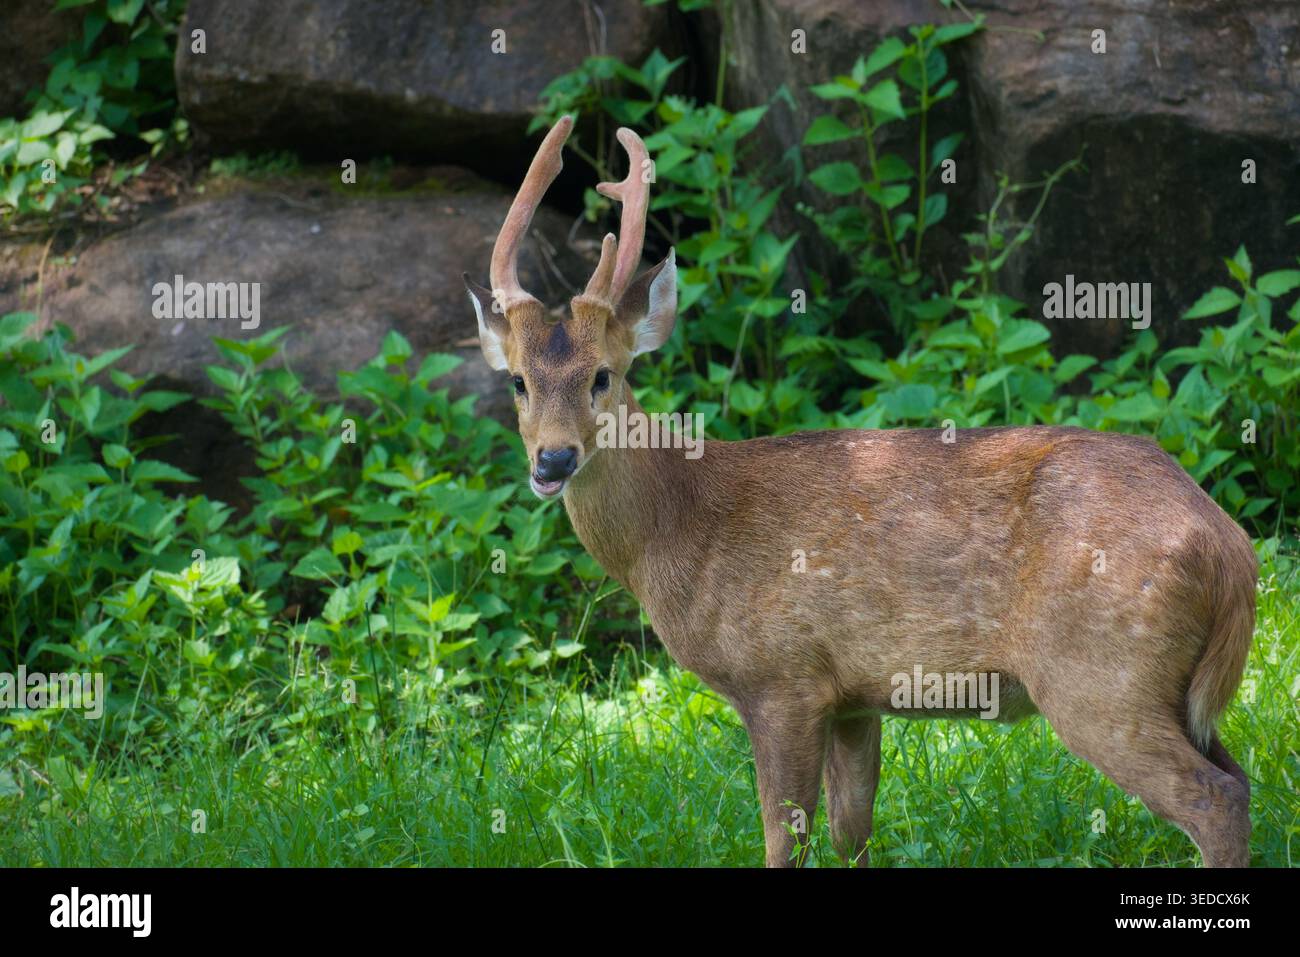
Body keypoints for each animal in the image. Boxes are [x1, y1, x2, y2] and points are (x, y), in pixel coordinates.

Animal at [463, 115, 1258, 868]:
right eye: (518, 382)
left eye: (603, 374)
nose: (553, 459)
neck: (680, 526)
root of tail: (1230, 550)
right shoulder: (852, 697)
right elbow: (853, 832)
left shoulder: (782, 676)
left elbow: (784, 838)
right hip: (1168, 689)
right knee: (1241, 777)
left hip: (1101, 672)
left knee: (1215, 796)